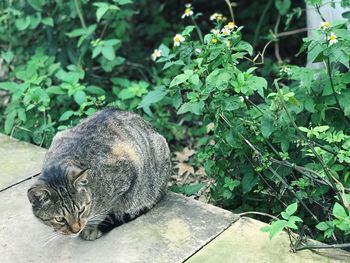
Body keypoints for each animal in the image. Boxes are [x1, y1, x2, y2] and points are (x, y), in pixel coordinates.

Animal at [27, 109, 171, 241]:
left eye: (81, 210)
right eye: (59, 219)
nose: (76, 229)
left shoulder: (128, 171)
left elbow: (112, 209)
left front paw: (93, 227)